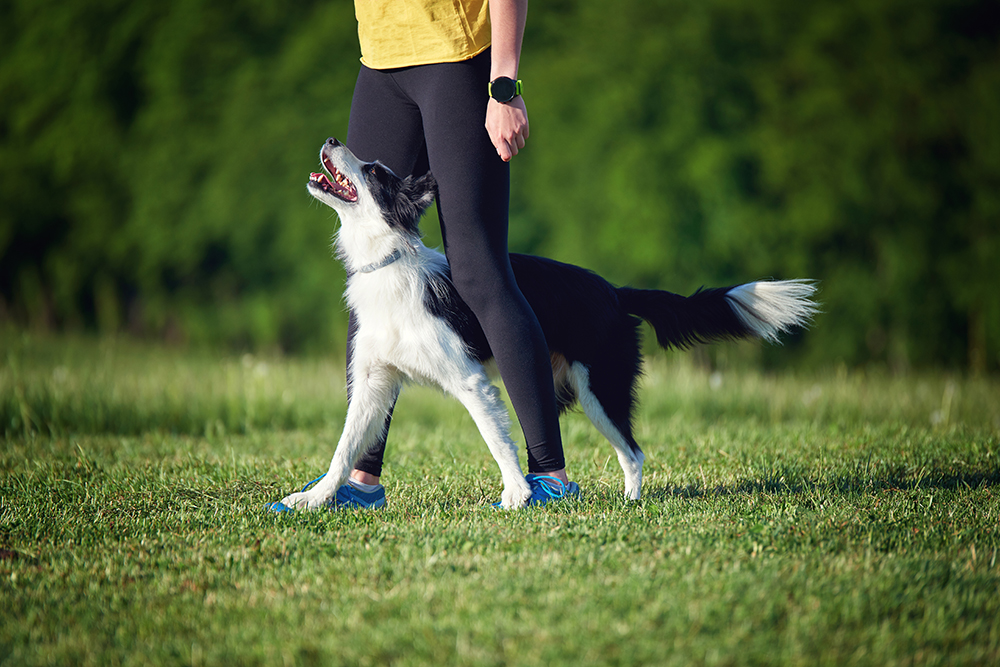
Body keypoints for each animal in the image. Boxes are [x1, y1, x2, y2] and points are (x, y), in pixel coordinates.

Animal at [276, 137, 820, 512]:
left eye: (373, 172)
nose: (331, 139)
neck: (388, 263)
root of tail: (613, 290)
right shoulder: (374, 383)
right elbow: (345, 447)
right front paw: (316, 498)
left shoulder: (470, 381)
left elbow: (496, 439)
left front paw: (516, 496)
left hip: (600, 387)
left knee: (633, 451)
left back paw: (628, 503)